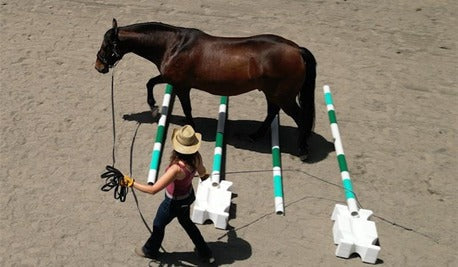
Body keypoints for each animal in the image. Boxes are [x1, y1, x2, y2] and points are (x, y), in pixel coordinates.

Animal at [93, 19, 314, 161]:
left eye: (106, 44)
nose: (99, 66)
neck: (174, 46)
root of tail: (296, 50)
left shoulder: (181, 85)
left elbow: (185, 107)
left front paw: (186, 125)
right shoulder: (173, 81)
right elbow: (151, 83)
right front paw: (155, 107)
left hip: (284, 97)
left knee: (301, 118)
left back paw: (303, 149)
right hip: (272, 94)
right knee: (272, 112)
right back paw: (255, 135)